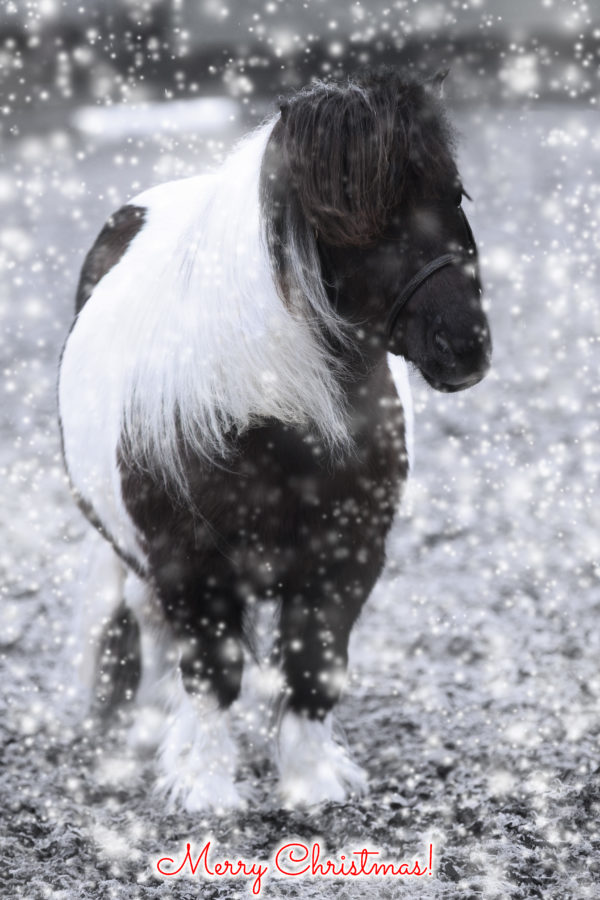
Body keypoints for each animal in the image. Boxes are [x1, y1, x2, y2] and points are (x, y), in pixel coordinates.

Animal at [58, 70, 492, 812]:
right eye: (349, 221)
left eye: (455, 194)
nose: (465, 347)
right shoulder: (190, 568)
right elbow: (213, 674)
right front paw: (206, 787)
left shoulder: (347, 557)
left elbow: (315, 664)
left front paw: (312, 782)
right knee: (147, 622)